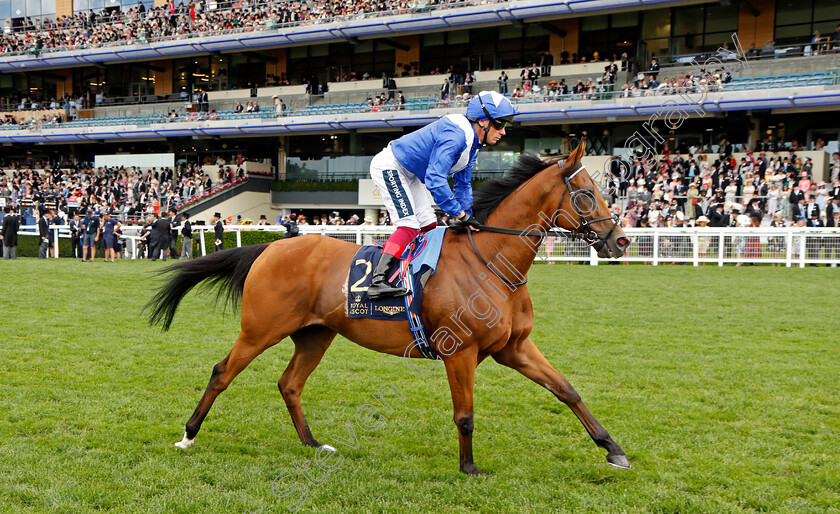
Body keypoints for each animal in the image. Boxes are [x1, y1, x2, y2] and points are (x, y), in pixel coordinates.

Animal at [146, 139, 632, 472]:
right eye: (585, 194)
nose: (621, 241)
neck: (490, 261)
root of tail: (269, 247)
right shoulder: (461, 352)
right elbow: (465, 415)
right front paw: (469, 467)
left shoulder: (514, 348)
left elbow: (567, 389)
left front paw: (613, 450)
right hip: (260, 328)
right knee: (222, 372)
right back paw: (188, 437)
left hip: (315, 334)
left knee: (289, 384)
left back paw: (313, 443)